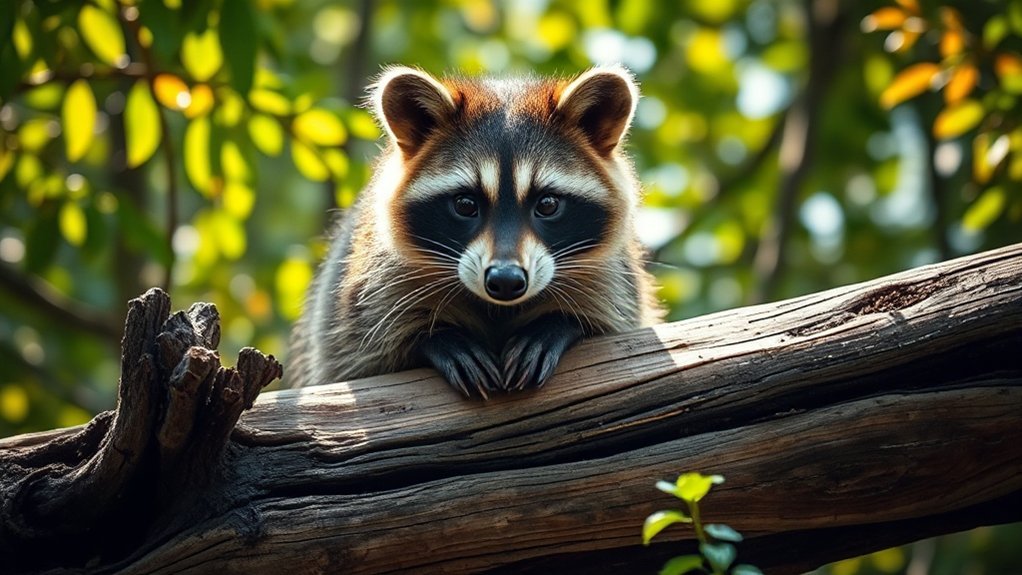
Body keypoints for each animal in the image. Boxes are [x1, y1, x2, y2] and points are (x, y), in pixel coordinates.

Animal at [288, 65, 662, 398]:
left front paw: (556, 325)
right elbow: (357, 354)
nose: (506, 280)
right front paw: (439, 338)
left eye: (547, 205)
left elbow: (613, 323)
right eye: (466, 205)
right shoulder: (362, 295)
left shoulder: (614, 279)